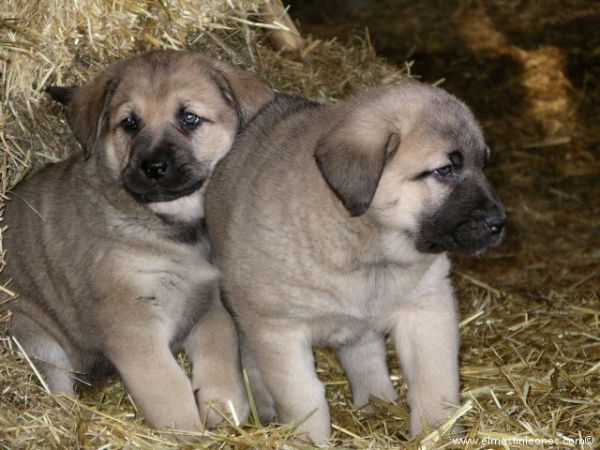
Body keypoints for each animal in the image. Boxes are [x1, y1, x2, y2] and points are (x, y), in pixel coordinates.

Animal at [1, 50, 274, 432]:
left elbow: (221, 350)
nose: (153, 167)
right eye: (129, 123)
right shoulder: (132, 323)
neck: (172, 228)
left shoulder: (208, 301)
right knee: (59, 393)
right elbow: (168, 389)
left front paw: (223, 406)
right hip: (34, 335)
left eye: (189, 118)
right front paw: (190, 432)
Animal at [206, 81, 506, 442]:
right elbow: (303, 397)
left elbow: (436, 382)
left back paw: (377, 402)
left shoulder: (428, 308)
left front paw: (438, 434)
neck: (371, 250)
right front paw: (309, 440)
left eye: (483, 165)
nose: (500, 222)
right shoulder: (277, 329)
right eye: (444, 170)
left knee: (365, 352)